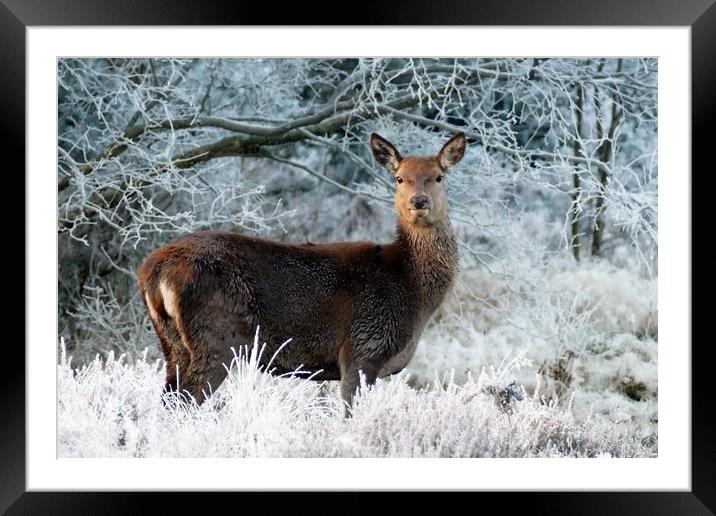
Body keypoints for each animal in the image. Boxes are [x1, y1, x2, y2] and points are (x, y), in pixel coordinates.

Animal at [138, 131, 468, 414]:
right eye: (399, 178)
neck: (411, 289)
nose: (419, 202)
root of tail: (153, 272)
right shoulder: (362, 348)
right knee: (183, 403)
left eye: (438, 177)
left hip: (172, 344)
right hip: (216, 338)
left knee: (167, 399)